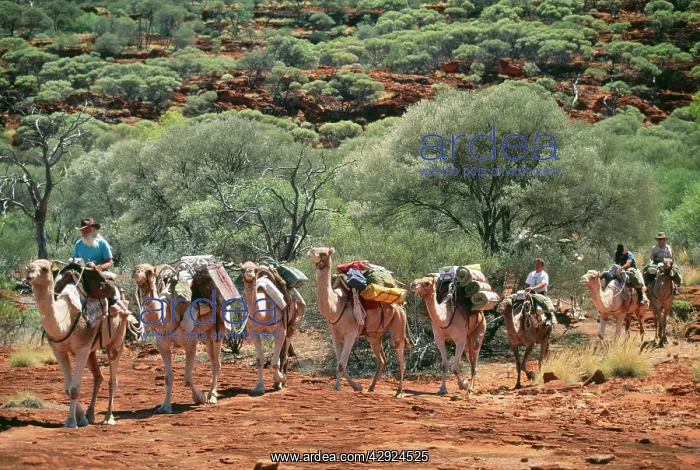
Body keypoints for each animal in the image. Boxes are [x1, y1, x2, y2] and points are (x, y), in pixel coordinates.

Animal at [25, 259, 127, 427]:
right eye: (28, 266)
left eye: (45, 268)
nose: (29, 276)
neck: (65, 320)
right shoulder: (58, 350)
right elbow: (68, 388)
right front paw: (82, 419)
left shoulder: (82, 347)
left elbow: (74, 388)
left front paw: (71, 422)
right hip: (92, 350)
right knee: (98, 377)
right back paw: (90, 415)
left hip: (117, 338)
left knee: (113, 379)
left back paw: (108, 418)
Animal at [132, 264, 223, 413]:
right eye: (136, 268)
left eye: (149, 271)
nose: (136, 273)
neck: (166, 315)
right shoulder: (162, 345)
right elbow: (168, 377)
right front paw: (165, 407)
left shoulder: (190, 344)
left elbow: (187, 377)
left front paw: (200, 397)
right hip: (206, 334)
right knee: (215, 360)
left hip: (217, 330)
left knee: (215, 363)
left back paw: (212, 396)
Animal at [239, 261, 305, 394]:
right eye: (242, 269)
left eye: (255, 269)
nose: (249, 274)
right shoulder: (253, 332)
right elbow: (259, 360)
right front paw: (259, 388)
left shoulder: (280, 330)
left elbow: (275, 362)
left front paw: (280, 379)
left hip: (293, 323)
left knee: (284, 353)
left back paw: (281, 382)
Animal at [307, 247, 409, 396]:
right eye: (315, 248)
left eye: (323, 253)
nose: (310, 252)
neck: (337, 306)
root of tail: (401, 304)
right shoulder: (335, 334)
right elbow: (339, 362)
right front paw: (357, 386)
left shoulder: (351, 333)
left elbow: (341, 364)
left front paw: (337, 388)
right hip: (373, 335)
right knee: (382, 359)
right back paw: (371, 387)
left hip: (399, 322)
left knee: (401, 357)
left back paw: (398, 392)